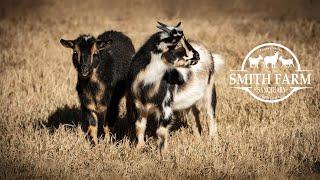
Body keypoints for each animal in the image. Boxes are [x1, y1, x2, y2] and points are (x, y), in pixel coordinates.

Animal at [129, 21, 224, 153]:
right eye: (176, 45)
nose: (197, 55)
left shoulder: (166, 107)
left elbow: (161, 131)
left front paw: (163, 154)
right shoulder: (139, 106)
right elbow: (139, 126)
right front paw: (139, 148)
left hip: (210, 90)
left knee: (210, 115)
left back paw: (213, 143)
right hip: (189, 102)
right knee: (194, 118)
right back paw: (198, 142)